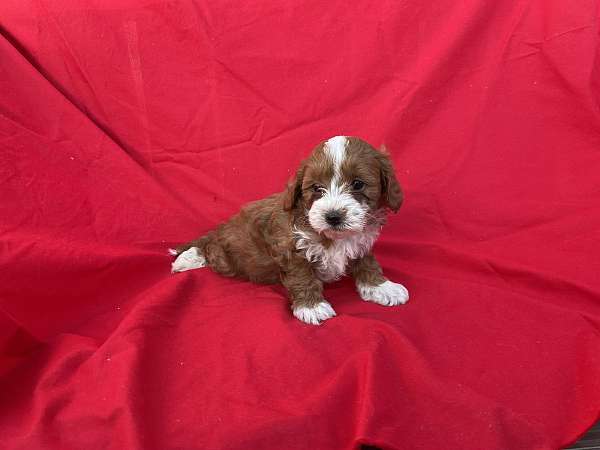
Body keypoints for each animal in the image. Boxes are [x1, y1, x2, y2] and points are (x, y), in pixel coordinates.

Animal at [171, 135, 410, 326]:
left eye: (358, 184)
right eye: (316, 188)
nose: (333, 216)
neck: (332, 237)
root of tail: (221, 228)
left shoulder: (360, 242)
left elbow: (367, 263)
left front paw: (381, 286)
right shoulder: (290, 248)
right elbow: (302, 276)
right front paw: (312, 307)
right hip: (227, 256)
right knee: (210, 248)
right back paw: (190, 258)